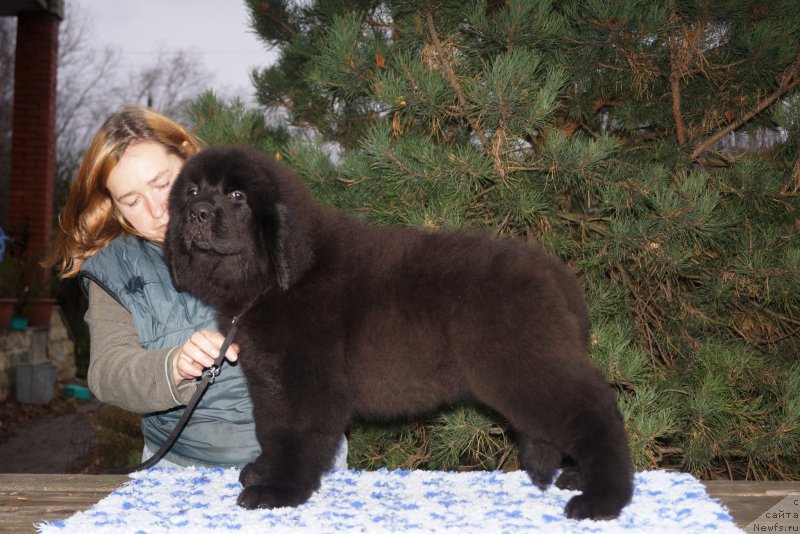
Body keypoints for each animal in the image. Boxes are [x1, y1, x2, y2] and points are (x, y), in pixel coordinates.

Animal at [166, 144, 636, 520]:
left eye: (238, 196)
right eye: (191, 191)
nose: (197, 213)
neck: (272, 281)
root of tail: (557, 275)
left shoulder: (306, 383)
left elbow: (295, 434)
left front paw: (278, 491)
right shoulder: (269, 381)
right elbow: (270, 430)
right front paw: (263, 471)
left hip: (524, 366)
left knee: (594, 410)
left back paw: (603, 498)